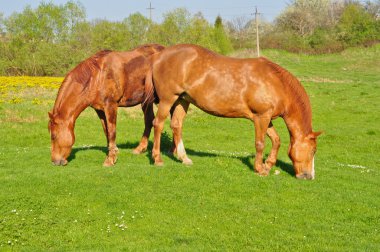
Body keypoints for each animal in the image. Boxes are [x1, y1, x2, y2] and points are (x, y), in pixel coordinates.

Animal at [148, 44, 320, 179]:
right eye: (313, 151)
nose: (309, 176)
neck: (276, 82)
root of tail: (158, 56)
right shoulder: (261, 117)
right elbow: (260, 143)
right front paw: (259, 168)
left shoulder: (266, 118)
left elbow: (276, 140)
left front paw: (267, 165)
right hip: (167, 99)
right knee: (158, 124)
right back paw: (157, 159)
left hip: (182, 100)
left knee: (176, 125)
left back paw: (184, 158)